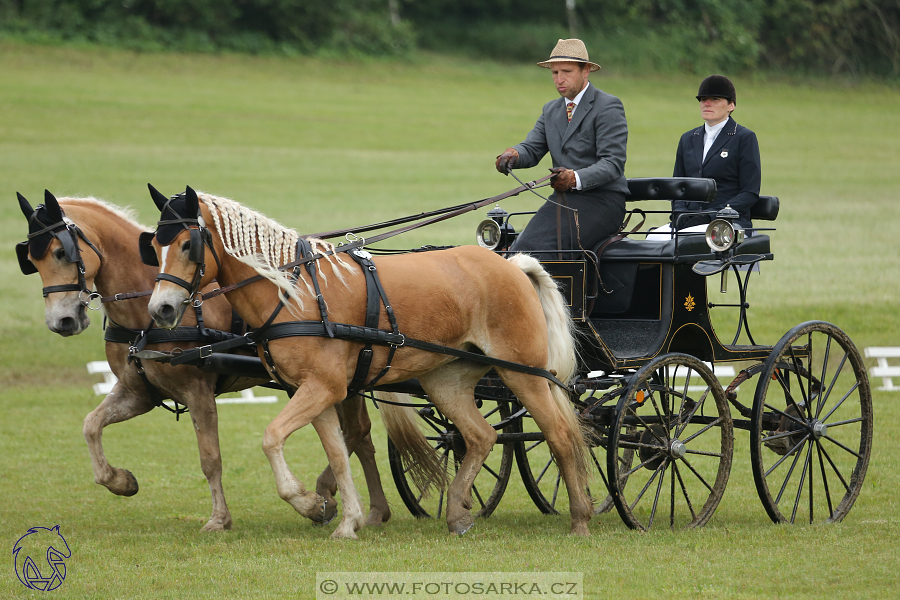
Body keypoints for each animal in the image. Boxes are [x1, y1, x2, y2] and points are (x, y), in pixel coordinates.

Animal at [15, 191, 390, 528]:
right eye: (31, 261)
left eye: (61, 252)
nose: (61, 321)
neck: (144, 314)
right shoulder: (139, 391)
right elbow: (91, 425)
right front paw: (120, 481)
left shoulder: (197, 391)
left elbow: (210, 459)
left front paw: (219, 519)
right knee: (361, 437)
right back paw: (374, 510)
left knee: (355, 432)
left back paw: (330, 497)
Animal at [144, 185, 596, 536]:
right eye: (153, 247)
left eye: (186, 244)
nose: (161, 309)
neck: (295, 293)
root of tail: (511, 265)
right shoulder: (318, 391)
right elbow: (340, 454)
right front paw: (346, 519)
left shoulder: (324, 388)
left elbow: (273, 438)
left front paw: (310, 504)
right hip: (446, 380)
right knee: (481, 436)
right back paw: (456, 512)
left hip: (525, 375)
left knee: (559, 435)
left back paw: (579, 519)